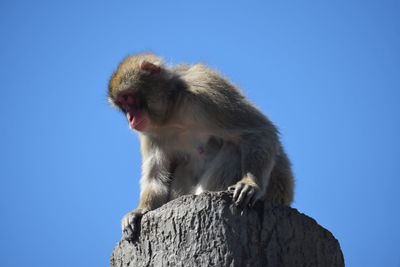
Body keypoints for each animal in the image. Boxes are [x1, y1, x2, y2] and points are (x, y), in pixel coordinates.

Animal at [106, 53, 294, 242]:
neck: (172, 111)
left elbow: (258, 130)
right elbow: (156, 175)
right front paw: (140, 210)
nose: (130, 118)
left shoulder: (207, 93)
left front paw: (250, 183)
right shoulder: (150, 133)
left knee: (234, 147)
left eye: (128, 98)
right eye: (122, 105)